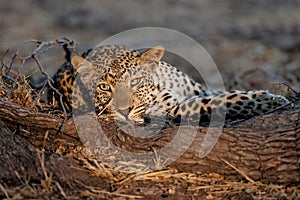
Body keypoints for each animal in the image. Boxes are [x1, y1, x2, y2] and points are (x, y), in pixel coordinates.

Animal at [48, 45, 290, 125]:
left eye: (135, 81)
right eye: (104, 87)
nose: (124, 111)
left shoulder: (200, 89)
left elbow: (226, 93)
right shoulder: (174, 110)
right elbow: (215, 102)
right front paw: (269, 100)